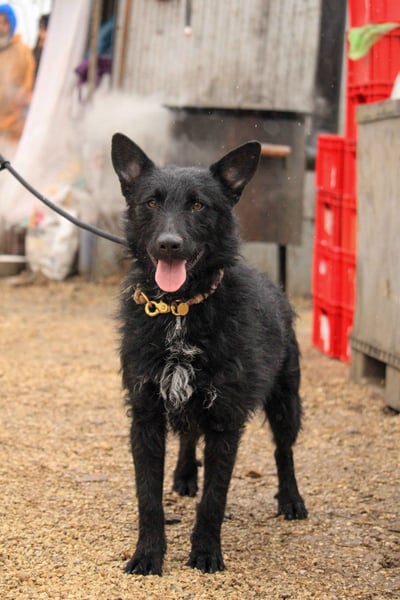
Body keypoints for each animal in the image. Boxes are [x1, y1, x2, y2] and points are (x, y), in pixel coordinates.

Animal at [111, 133, 308, 576]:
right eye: (151, 203)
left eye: (199, 205)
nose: (169, 245)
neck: (180, 311)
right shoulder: (146, 415)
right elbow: (148, 498)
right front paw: (147, 554)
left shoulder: (225, 421)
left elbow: (214, 500)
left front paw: (205, 552)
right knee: (187, 435)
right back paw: (185, 475)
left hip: (286, 400)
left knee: (283, 450)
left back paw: (290, 499)